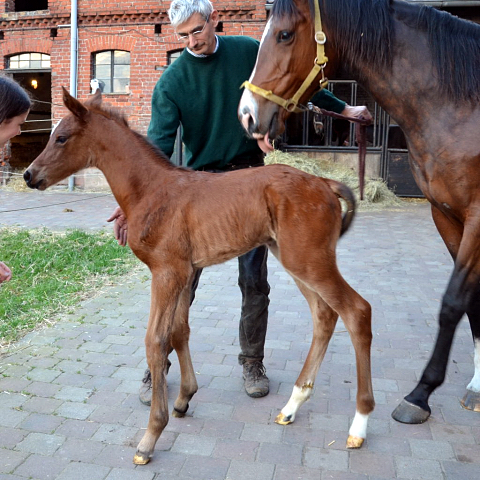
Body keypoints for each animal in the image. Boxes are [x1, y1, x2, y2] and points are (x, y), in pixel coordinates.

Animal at [23, 87, 376, 464]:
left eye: (61, 138)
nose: (29, 174)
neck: (150, 190)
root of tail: (324, 181)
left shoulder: (166, 272)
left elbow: (155, 339)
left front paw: (151, 435)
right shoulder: (185, 271)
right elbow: (180, 332)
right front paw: (184, 399)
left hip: (309, 260)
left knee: (356, 311)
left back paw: (358, 425)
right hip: (295, 260)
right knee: (324, 315)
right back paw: (292, 406)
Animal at [239, 0, 480, 424]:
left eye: (284, 34)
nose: (248, 115)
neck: (460, 107)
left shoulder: (477, 215)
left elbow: (453, 302)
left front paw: (420, 394)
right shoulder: (447, 214)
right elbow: (473, 301)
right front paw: (476, 384)